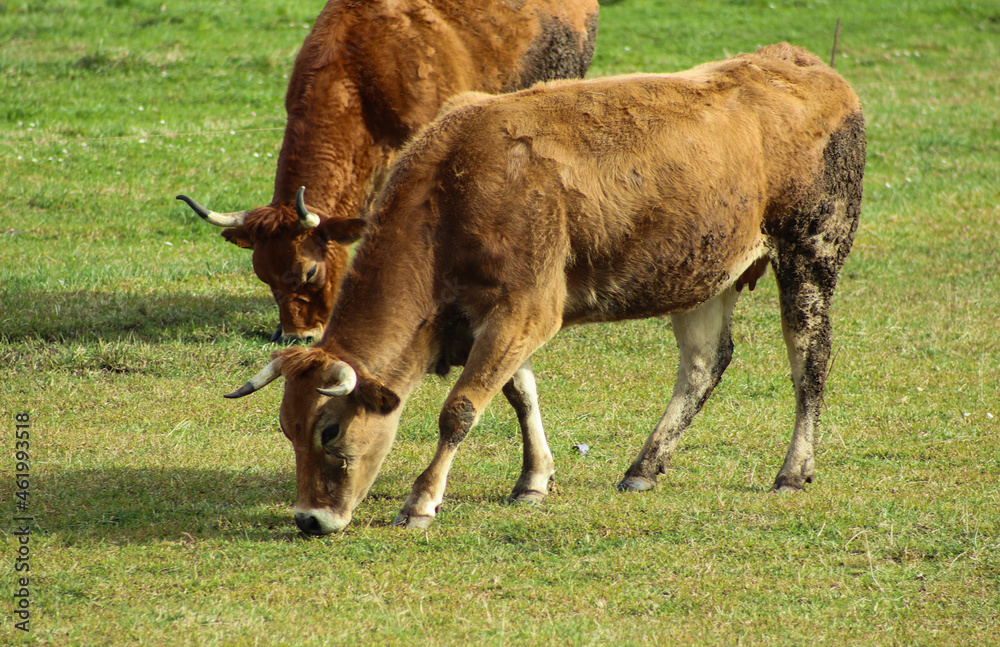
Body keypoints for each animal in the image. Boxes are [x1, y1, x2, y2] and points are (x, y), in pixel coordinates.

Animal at [222, 43, 866, 534]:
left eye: (329, 430)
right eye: (287, 429)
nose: (310, 519)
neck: (450, 190)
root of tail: (809, 67)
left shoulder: (526, 308)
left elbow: (461, 407)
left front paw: (422, 501)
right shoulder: (498, 316)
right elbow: (519, 394)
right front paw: (533, 479)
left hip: (811, 252)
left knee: (810, 361)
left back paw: (792, 471)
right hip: (706, 271)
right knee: (705, 363)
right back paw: (644, 466)